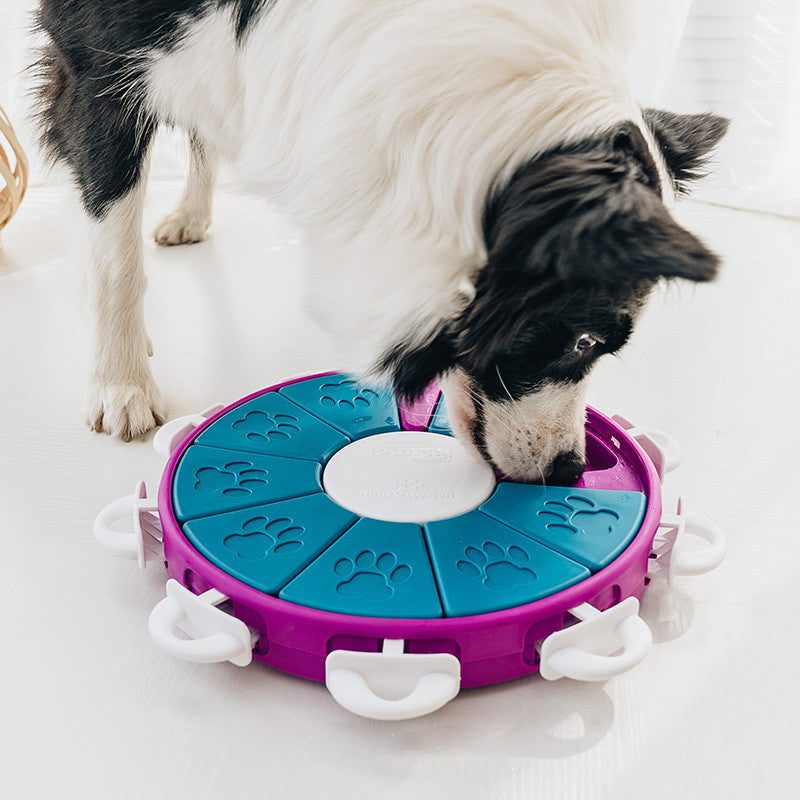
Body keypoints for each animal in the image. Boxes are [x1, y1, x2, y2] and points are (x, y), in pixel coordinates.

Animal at [34, 0, 728, 482]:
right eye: (584, 340)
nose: (572, 471)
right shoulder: (92, 62)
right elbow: (116, 254)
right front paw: (120, 385)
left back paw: (190, 215)